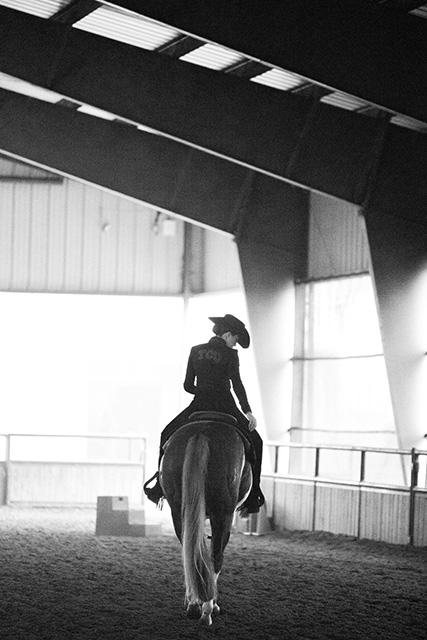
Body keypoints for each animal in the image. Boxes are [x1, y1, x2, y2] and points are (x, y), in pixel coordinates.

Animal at [160, 410, 254, 624]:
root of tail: (202, 433)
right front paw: (212, 606)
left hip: (178, 511)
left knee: (190, 551)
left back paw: (195, 606)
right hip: (223, 513)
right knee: (216, 556)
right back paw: (208, 610)